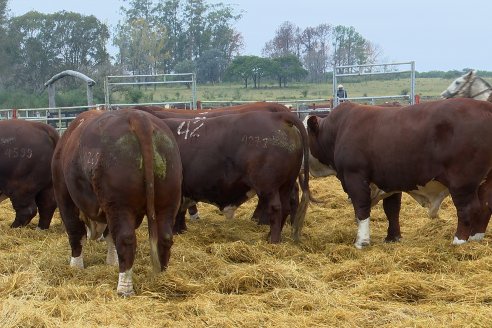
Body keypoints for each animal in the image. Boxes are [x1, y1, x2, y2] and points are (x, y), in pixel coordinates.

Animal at [52, 109, 183, 296]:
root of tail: (138, 118)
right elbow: (109, 237)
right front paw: (112, 262)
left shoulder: (64, 197)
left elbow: (75, 231)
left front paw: (75, 266)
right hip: (167, 200)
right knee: (164, 238)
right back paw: (162, 279)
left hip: (119, 205)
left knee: (125, 239)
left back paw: (124, 288)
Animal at [308, 98, 492, 247]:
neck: (339, 129)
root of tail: (485, 106)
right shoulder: (389, 181)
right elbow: (392, 210)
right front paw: (393, 237)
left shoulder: (354, 177)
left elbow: (361, 209)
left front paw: (362, 241)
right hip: (485, 181)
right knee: (485, 206)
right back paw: (476, 237)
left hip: (462, 182)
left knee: (468, 208)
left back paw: (459, 241)